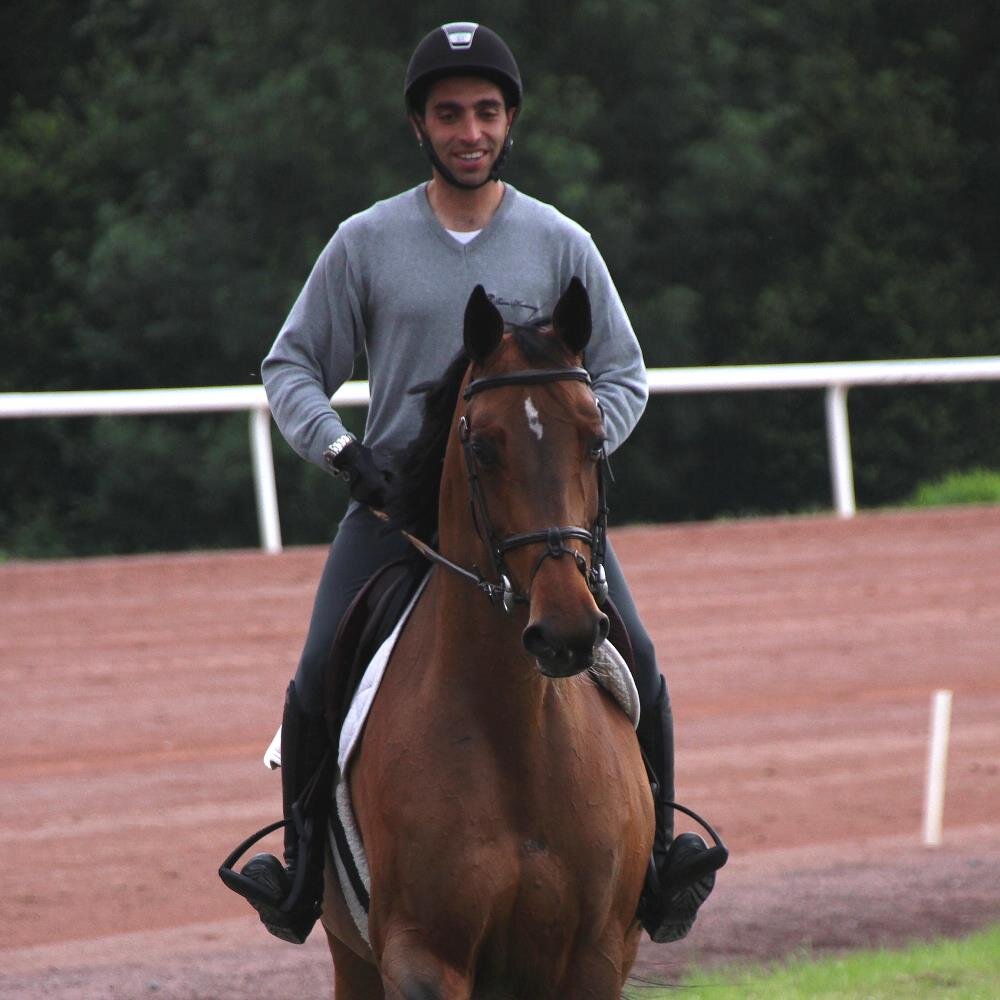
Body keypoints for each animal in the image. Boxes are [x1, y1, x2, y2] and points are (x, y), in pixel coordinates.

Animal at [316, 280, 652, 1000]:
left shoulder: (595, 957)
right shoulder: (423, 957)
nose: (565, 630)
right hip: (352, 957)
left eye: (594, 439)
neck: (514, 731)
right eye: (485, 447)